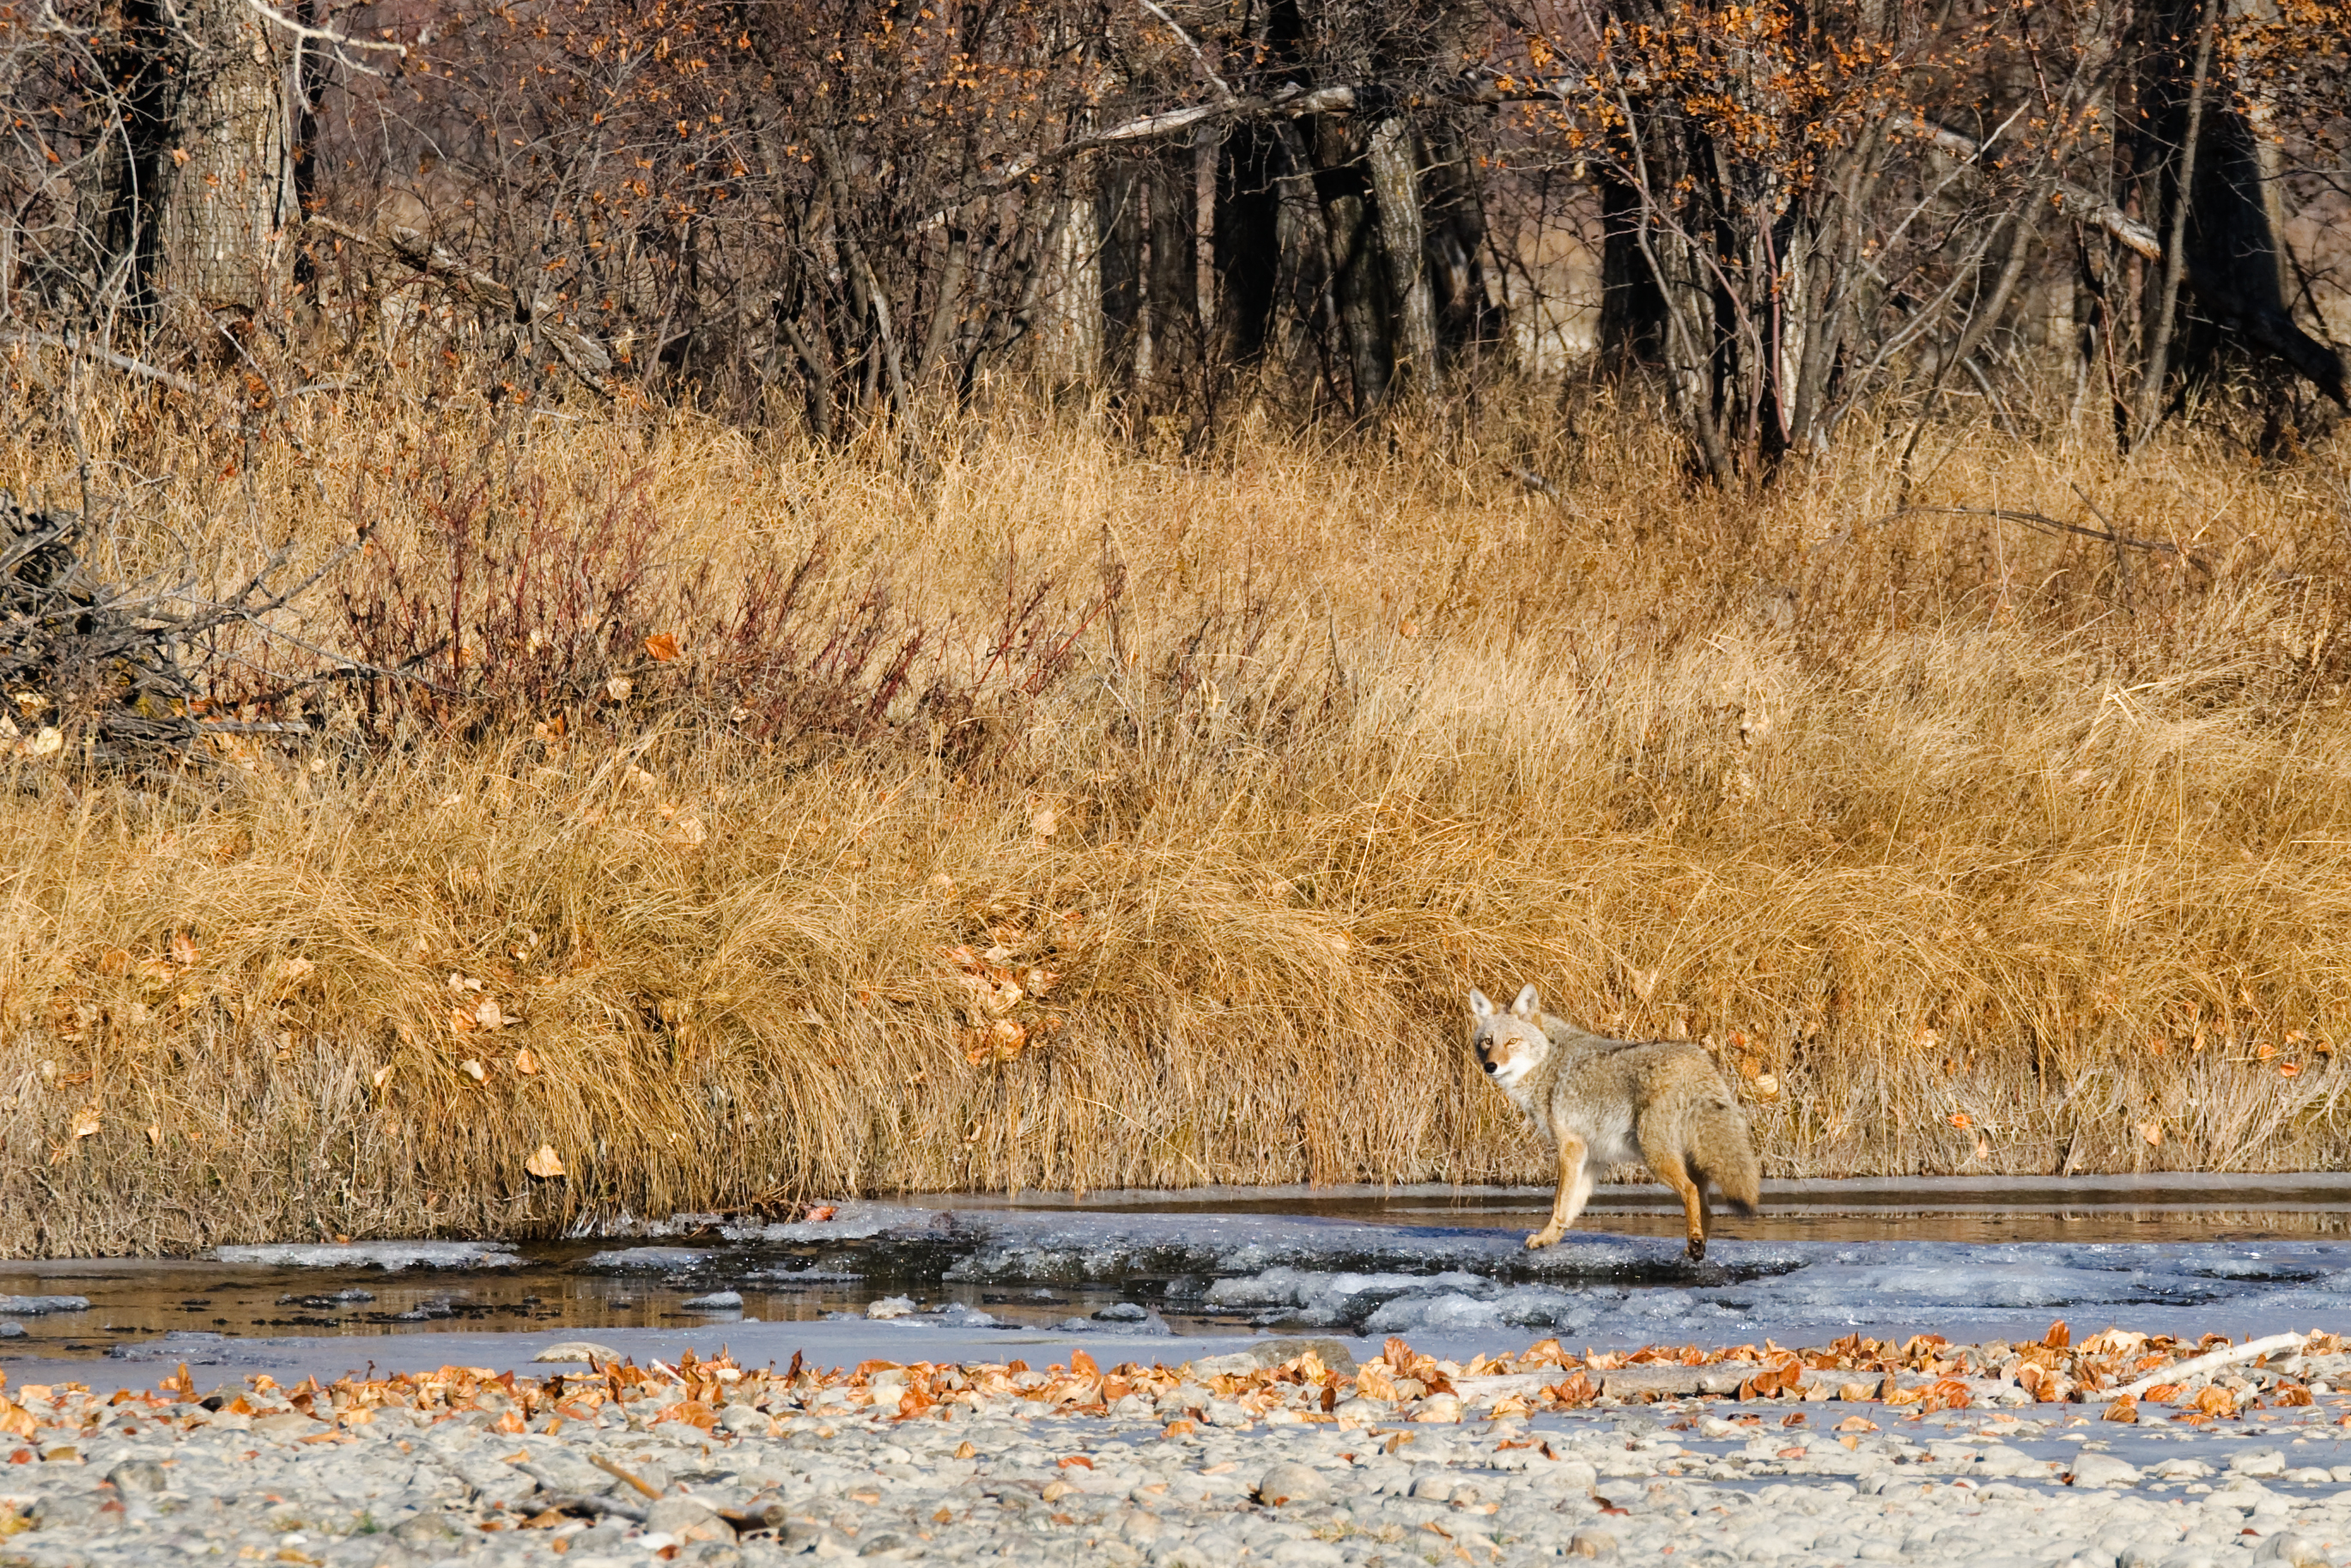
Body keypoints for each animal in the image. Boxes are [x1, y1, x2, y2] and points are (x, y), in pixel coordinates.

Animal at [1468, 984, 1760, 1260]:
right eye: (1488, 1042)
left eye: (1512, 1042)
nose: (1491, 1066)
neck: (1548, 1065)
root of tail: (1697, 1059)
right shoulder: (1593, 1156)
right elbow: (1569, 1209)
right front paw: (1548, 1239)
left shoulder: (1570, 1147)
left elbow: (1559, 1202)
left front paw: (1544, 1236)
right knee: (1705, 1206)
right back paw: (1694, 1247)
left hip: (1658, 1159)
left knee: (1691, 1191)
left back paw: (1696, 1244)